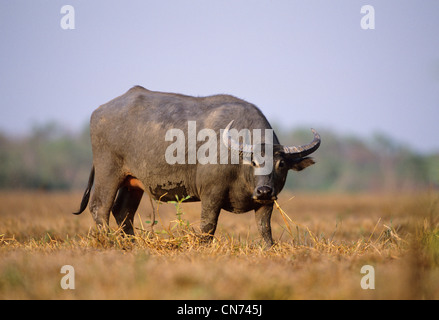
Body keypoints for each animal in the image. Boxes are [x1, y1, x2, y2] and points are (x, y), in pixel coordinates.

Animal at [71, 86, 320, 246]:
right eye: (253, 161)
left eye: (281, 164)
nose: (264, 190)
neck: (236, 163)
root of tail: (99, 111)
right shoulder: (211, 194)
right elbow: (208, 227)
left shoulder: (266, 203)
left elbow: (265, 229)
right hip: (108, 171)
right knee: (100, 207)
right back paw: (110, 242)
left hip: (132, 182)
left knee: (122, 212)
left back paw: (131, 244)